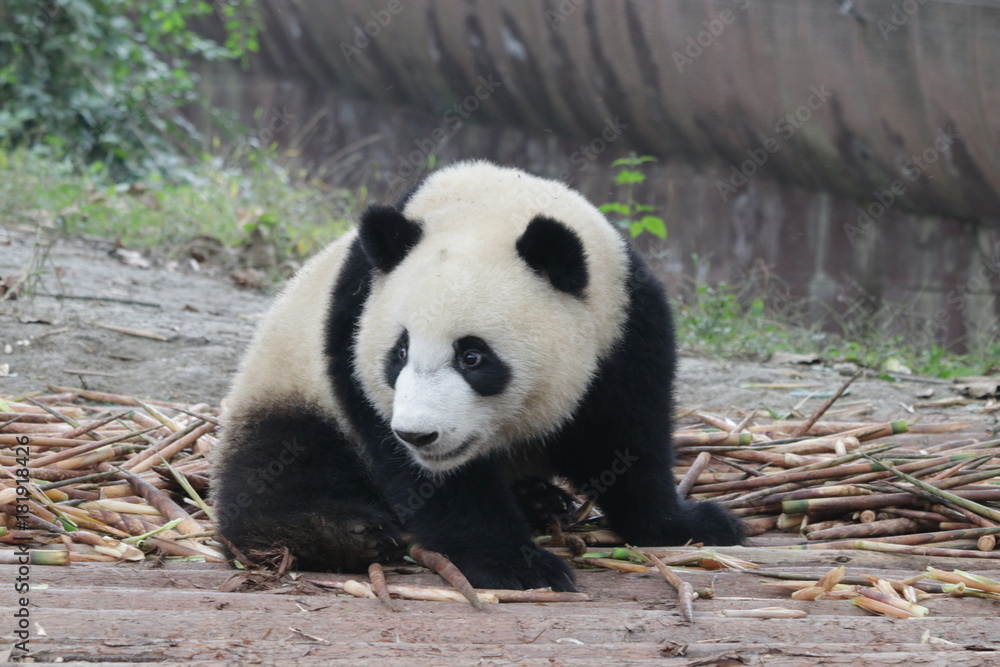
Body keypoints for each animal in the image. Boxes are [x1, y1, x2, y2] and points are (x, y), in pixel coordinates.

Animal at [211, 161, 744, 592]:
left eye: (472, 357)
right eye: (399, 353)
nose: (419, 435)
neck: (489, 206)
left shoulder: (625, 323)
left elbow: (627, 437)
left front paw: (690, 525)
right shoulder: (351, 327)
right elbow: (426, 476)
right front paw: (517, 566)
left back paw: (539, 501)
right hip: (285, 378)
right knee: (282, 458)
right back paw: (342, 534)